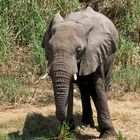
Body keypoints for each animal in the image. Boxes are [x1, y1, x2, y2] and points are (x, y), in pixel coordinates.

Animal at [41, 6, 118, 138]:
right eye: (49, 48)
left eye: (78, 50)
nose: (62, 130)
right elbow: (69, 89)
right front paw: (69, 133)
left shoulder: (94, 52)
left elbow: (97, 88)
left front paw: (108, 136)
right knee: (83, 89)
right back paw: (87, 123)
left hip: (110, 57)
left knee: (103, 85)